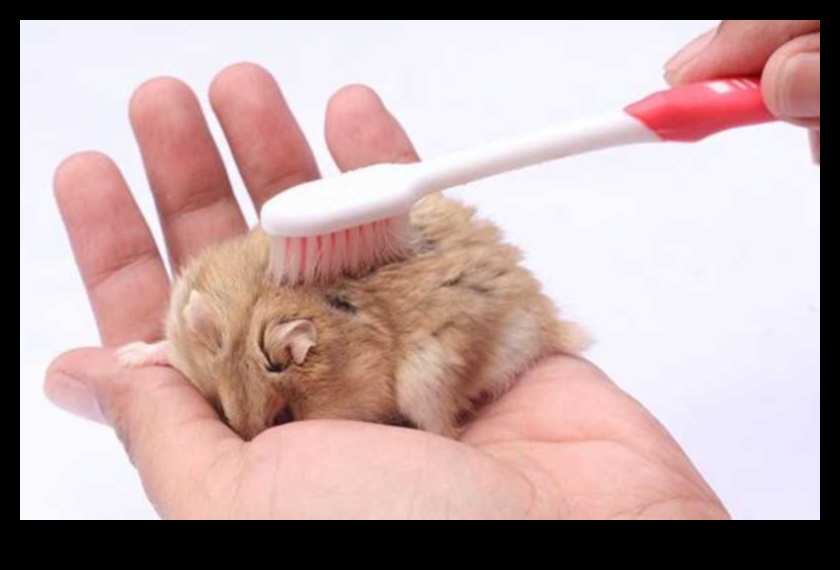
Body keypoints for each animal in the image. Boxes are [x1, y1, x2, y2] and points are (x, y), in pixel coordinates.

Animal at [119, 195, 588, 439]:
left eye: (282, 419)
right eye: (219, 409)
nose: (250, 442)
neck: (257, 303)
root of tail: (540, 319)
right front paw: (128, 357)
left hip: (428, 380)